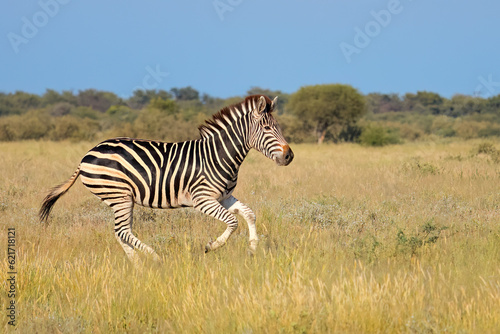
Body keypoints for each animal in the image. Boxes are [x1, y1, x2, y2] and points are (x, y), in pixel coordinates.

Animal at [41, 95, 294, 262]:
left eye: (278, 127)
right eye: (267, 128)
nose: (289, 156)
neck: (218, 154)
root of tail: (87, 153)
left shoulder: (223, 196)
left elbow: (249, 214)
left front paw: (252, 249)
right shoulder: (202, 199)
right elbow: (232, 221)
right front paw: (212, 246)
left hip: (119, 199)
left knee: (120, 232)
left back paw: (137, 264)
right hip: (119, 195)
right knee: (122, 231)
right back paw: (154, 257)